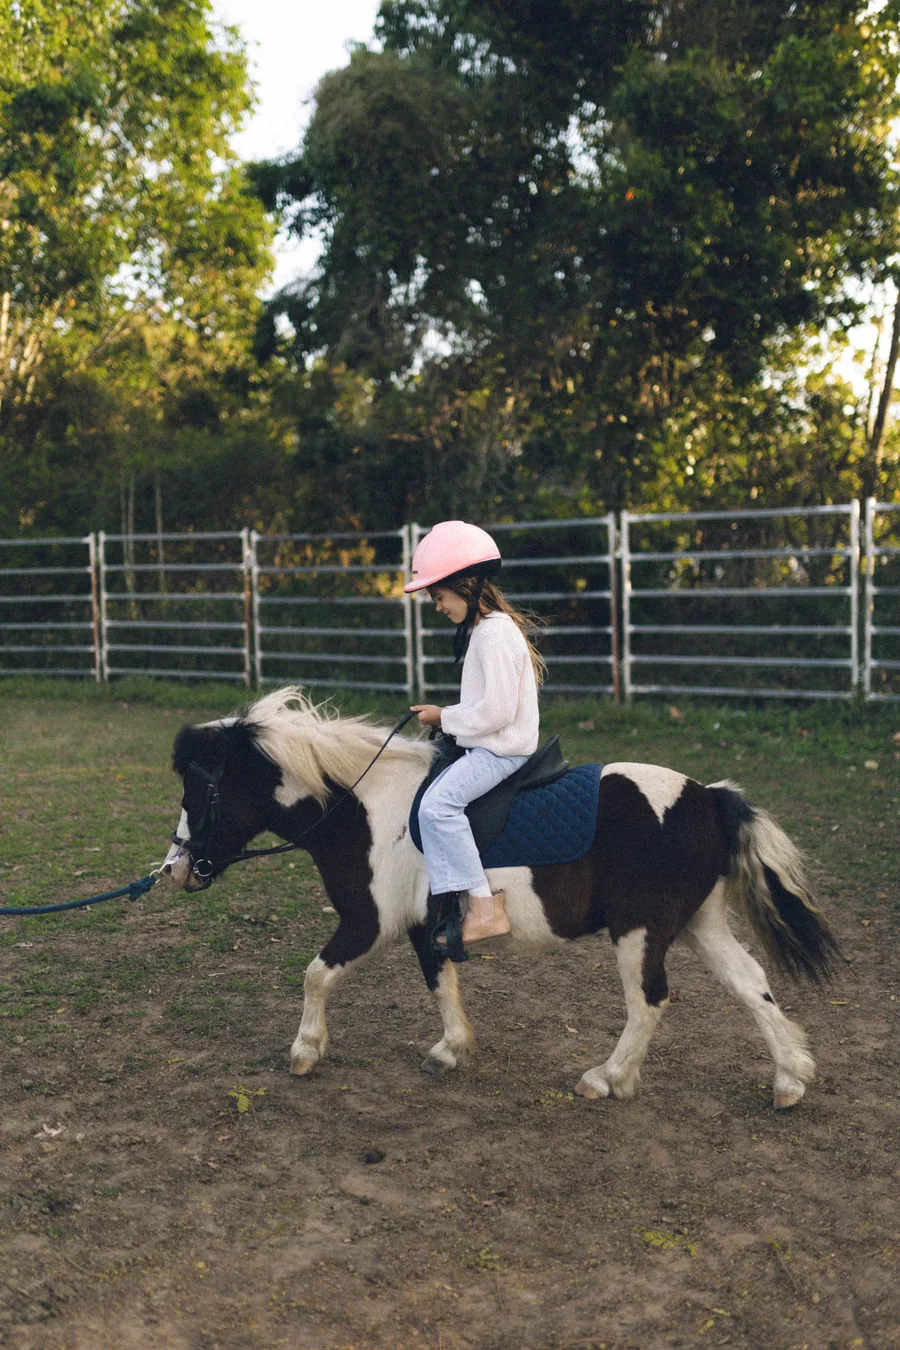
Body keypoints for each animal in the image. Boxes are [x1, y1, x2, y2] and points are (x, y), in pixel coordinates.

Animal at [160, 686, 840, 1110]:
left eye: (198, 791)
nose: (176, 869)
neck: (367, 808)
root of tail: (708, 797)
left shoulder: (368, 922)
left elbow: (316, 976)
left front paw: (305, 1051)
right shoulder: (424, 927)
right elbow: (441, 983)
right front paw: (452, 1049)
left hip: (641, 931)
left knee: (649, 1003)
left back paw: (607, 1079)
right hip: (700, 923)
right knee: (752, 985)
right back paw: (789, 1080)